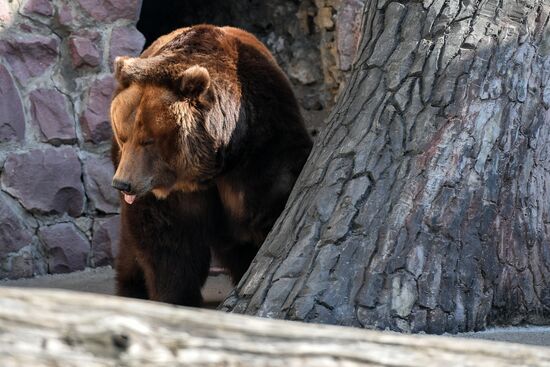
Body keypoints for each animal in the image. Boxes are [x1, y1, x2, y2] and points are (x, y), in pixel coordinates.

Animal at [110, 25, 312, 308]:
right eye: (123, 136)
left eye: (147, 140)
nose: (122, 183)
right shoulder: (170, 194)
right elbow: (168, 241)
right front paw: (177, 296)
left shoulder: (263, 148)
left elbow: (268, 206)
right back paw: (131, 287)